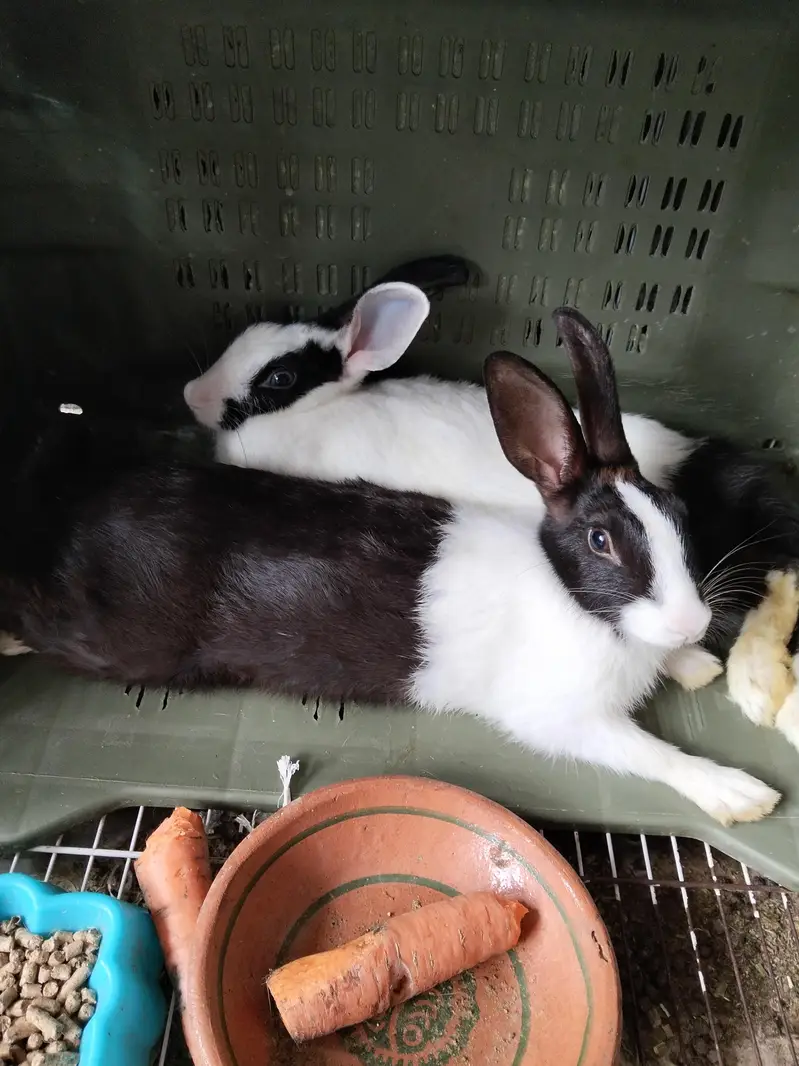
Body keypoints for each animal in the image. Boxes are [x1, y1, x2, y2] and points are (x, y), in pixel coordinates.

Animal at [0, 309, 780, 826]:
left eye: (677, 516)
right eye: (600, 541)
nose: (693, 622)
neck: (572, 599)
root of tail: (75, 500)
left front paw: (695, 665)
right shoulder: (565, 720)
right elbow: (651, 754)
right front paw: (742, 794)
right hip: (110, 638)